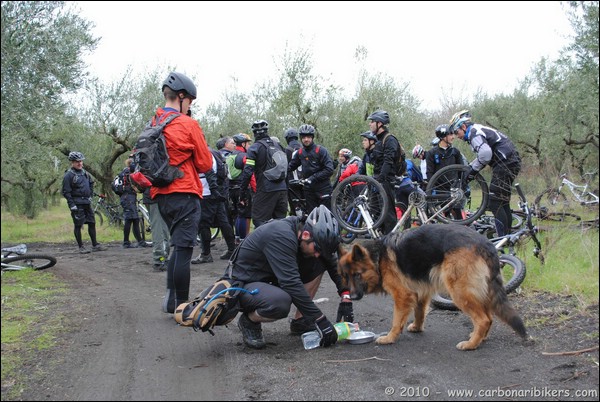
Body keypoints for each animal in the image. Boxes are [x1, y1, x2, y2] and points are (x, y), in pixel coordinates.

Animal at [338, 225, 528, 350]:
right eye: (345, 276)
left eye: (357, 275)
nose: (350, 297)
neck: (378, 258)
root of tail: (486, 244)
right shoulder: (421, 292)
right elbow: (419, 312)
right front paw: (417, 327)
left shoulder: (402, 296)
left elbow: (396, 321)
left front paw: (390, 338)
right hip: (479, 292)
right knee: (489, 317)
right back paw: (479, 338)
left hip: (459, 293)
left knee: (484, 319)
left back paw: (471, 344)